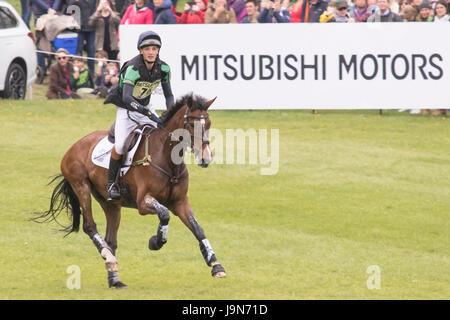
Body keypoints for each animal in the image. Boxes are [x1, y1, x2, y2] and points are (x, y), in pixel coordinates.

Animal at [34, 92, 229, 288]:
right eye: (190, 125)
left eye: (208, 123)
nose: (205, 159)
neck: (167, 158)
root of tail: (72, 148)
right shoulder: (143, 203)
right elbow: (164, 214)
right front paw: (156, 241)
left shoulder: (180, 202)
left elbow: (198, 228)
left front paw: (216, 265)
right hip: (81, 186)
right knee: (90, 226)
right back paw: (108, 257)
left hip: (111, 203)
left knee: (111, 239)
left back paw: (115, 278)